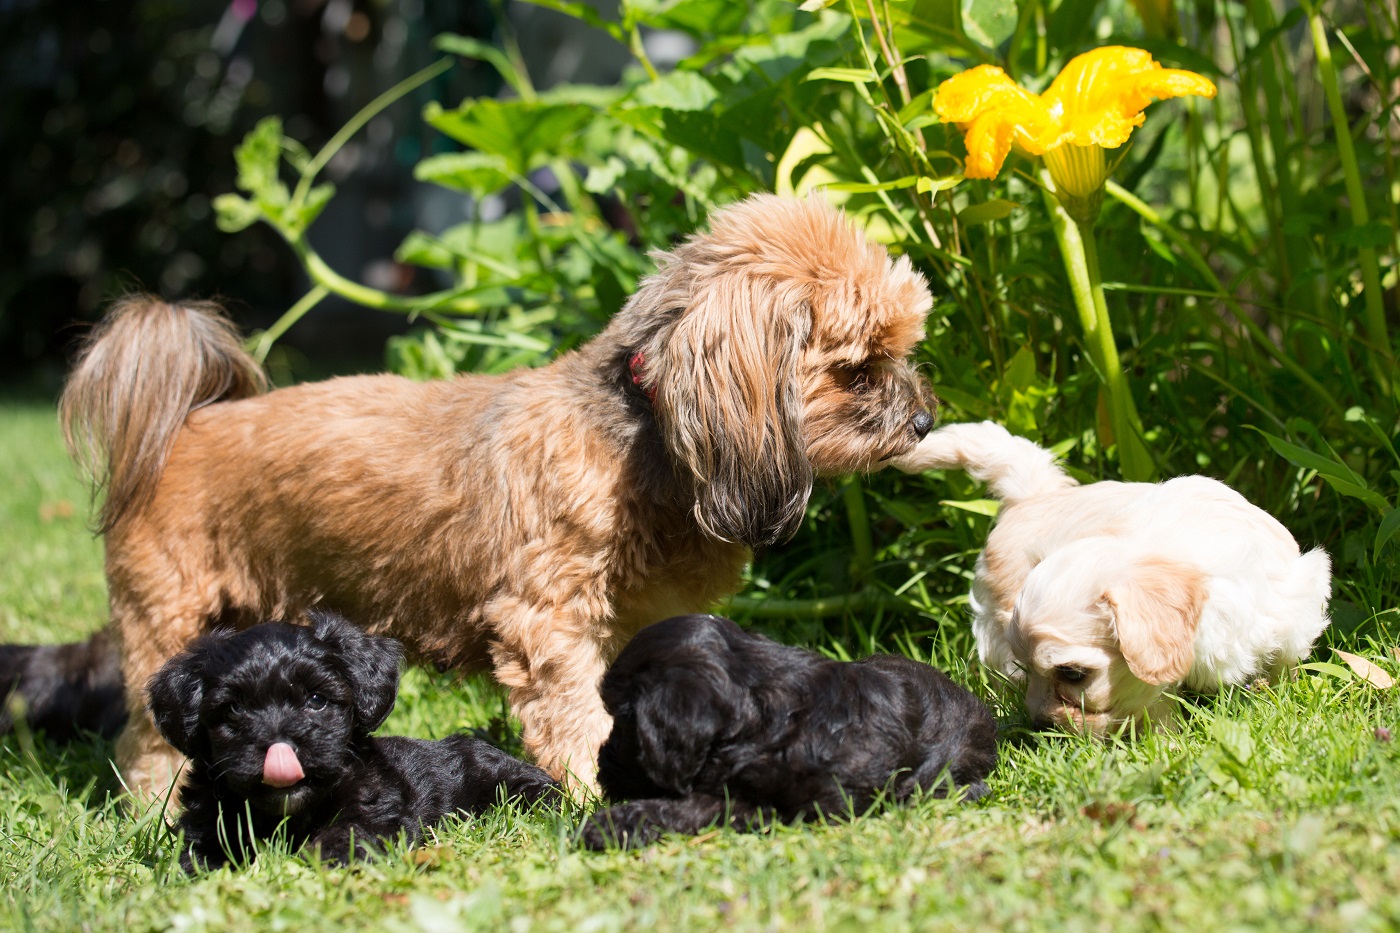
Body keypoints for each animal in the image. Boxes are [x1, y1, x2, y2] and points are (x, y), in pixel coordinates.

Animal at [54, 191, 935, 795]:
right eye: (857, 368)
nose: (925, 417)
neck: (643, 435)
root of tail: (185, 424)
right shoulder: (547, 620)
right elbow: (575, 714)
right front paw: (596, 785)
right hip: (166, 622)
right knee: (148, 741)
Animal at [144, 607, 554, 868]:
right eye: (233, 710)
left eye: (316, 700)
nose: (280, 746)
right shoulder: (205, 817)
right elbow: (202, 848)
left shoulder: (380, 809)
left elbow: (352, 832)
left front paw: (331, 859)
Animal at [896, 417, 1332, 728]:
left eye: (1073, 674)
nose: (1038, 724)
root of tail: (1036, 494)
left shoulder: (1294, 605)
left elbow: (1283, 664)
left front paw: (1275, 699)